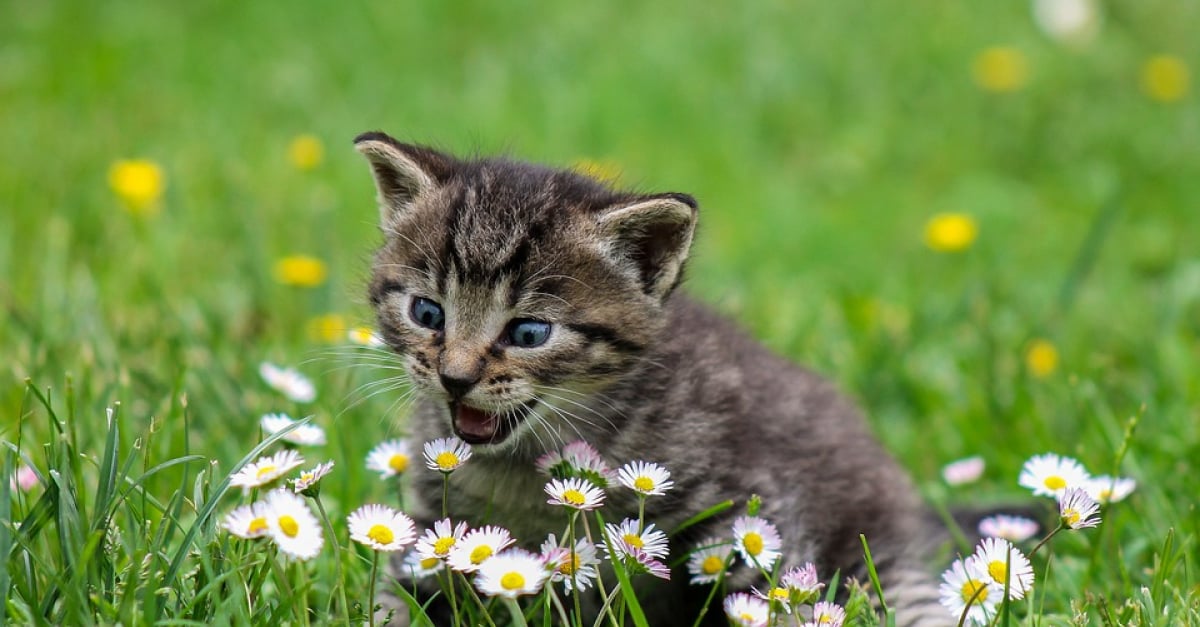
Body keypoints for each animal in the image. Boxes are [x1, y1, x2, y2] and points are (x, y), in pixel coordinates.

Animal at [350, 130, 950, 619]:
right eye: (427, 313)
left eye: (529, 333)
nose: (454, 377)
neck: (523, 466)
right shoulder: (434, 536)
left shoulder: (750, 519)